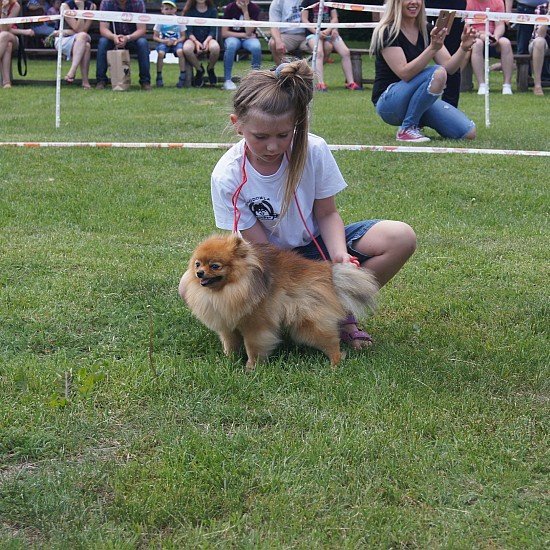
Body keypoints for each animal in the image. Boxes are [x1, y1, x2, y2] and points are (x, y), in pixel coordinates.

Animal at [181, 233, 380, 370]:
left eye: (215, 266)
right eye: (197, 264)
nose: (199, 273)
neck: (230, 289)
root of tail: (327, 272)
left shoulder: (255, 327)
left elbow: (253, 347)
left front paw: (251, 367)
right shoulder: (228, 325)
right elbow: (230, 345)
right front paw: (229, 360)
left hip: (308, 323)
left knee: (331, 342)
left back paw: (335, 363)